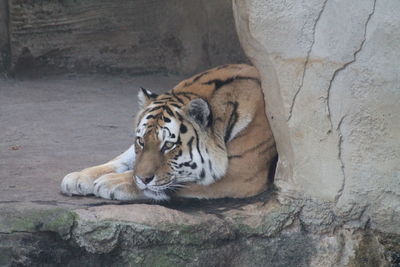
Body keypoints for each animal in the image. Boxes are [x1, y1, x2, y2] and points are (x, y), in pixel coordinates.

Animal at [61, 64, 276, 201]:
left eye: (169, 145)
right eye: (141, 141)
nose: (143, 179)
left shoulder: (240, 171)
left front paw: (111, 182)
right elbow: (123, 159)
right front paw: (79, 178)